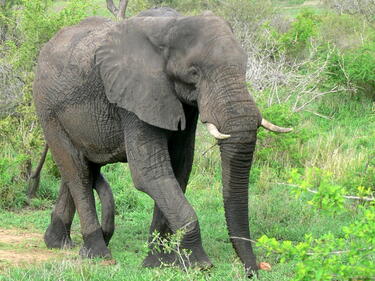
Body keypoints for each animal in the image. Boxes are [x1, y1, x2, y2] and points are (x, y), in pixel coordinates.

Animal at [31, 4, 294, 276]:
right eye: (194, 73)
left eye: (244, 68)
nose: (253, 271)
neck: (171, 27)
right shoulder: (136, 95)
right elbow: (151, 173)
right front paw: (199, 264)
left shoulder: (181, 102)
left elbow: (179, 168)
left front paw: (158, 262)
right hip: (47, 109)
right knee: (78, 172)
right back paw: (98, 253)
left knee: (80, 168)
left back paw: (58, 243)